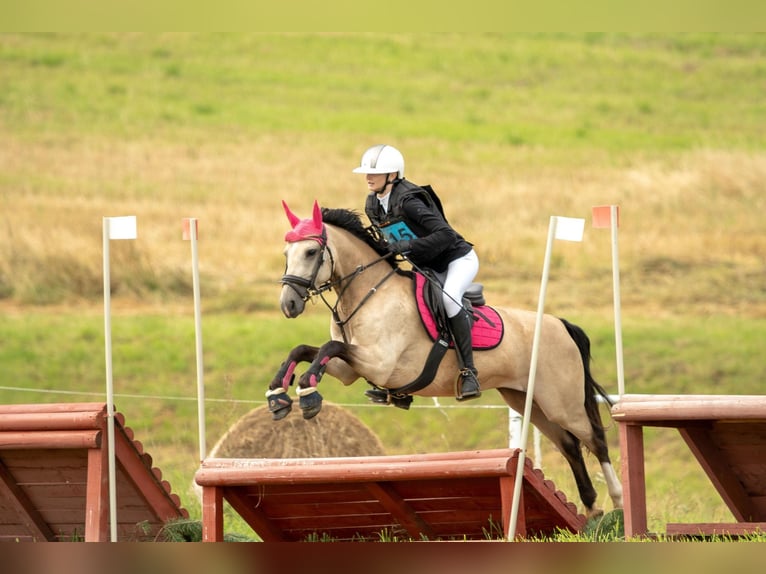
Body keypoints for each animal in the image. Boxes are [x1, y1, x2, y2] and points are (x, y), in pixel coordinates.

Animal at [267, 200, 623, 518]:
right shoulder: (349, 369)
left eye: (310, 252)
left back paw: (618, 503)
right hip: (529, 400)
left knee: (596, 439)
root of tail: (560, 324)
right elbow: (306, 350)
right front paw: (278, 394)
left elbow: (327, 348)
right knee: (569, 445)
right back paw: (592, 509)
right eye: (286, 254)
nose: (288, 305)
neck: (368, 294)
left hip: (562, 402)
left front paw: (307, 394)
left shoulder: (378, 362)